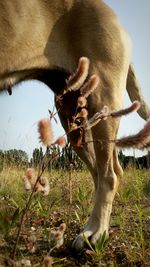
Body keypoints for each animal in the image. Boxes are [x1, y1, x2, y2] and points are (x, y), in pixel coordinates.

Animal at [0, 0, 149, 251]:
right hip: (75, 121)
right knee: (102, 173)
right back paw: (95, 227)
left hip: (103, 99)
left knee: (109, 175)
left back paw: (94, 233)